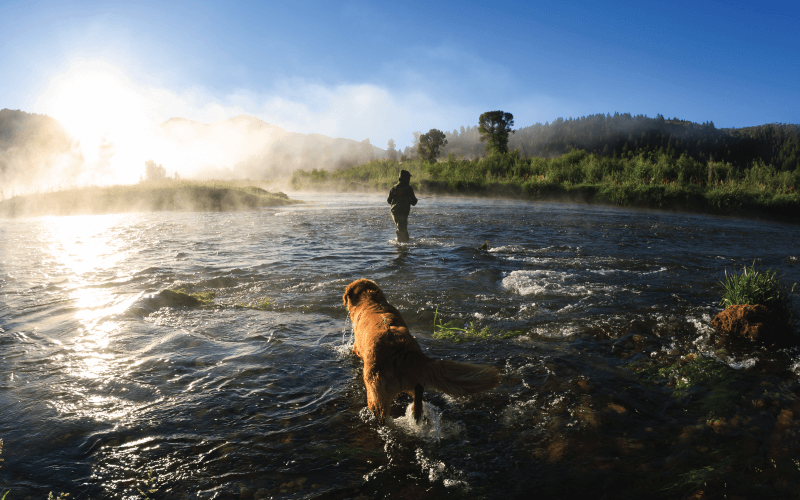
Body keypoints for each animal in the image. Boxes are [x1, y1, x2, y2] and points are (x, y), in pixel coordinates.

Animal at [344, 280, 500, 424]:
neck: (371, 302)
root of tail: (401, 350)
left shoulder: (357, 347)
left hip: (376, 391)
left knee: (382, 413)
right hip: (409, 381)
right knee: (418, 391)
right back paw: (417, 414)